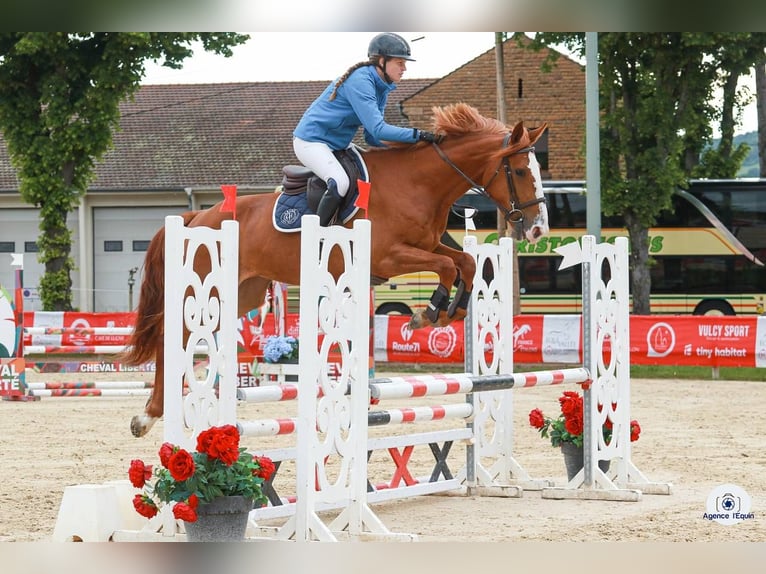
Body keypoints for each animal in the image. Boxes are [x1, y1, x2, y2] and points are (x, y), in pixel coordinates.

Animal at [124, 102, 544, 436]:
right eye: (522, 171)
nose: (537, 228)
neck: (418, 183)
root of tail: (196, 218)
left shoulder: (425, 246)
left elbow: (465, 263)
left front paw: (448, 313)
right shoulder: (389, 257)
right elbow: (445, 267)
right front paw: (425, 315)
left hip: (242, 293)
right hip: (203, 288)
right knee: (169, 335)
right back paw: (148, 416)